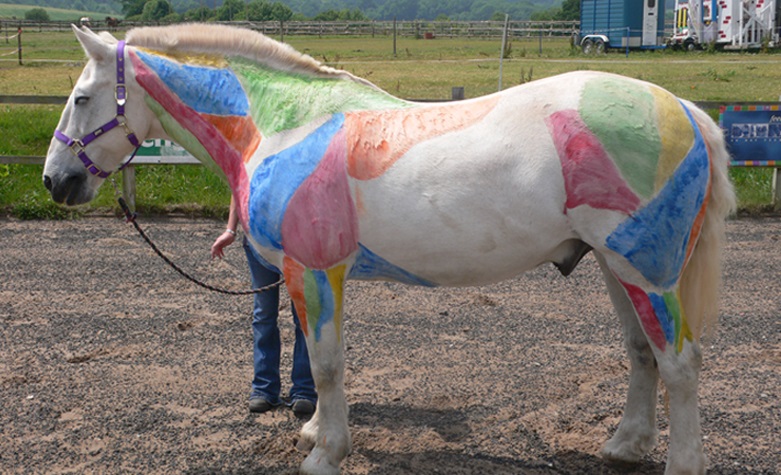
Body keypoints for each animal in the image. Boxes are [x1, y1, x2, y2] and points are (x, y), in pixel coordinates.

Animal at [45, 24, 736, 474]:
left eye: (81, 98)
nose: (56, 181)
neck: (284, 122)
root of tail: (685, 111)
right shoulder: (303, 274)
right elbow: (315, 354)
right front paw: (314, 431)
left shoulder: (316, 269)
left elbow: (326, 362)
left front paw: (326, 452)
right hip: (616, 267)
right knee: (642, 355)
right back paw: (624, 446)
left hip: (646, 270)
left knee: (679, 364)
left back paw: (679, 461)